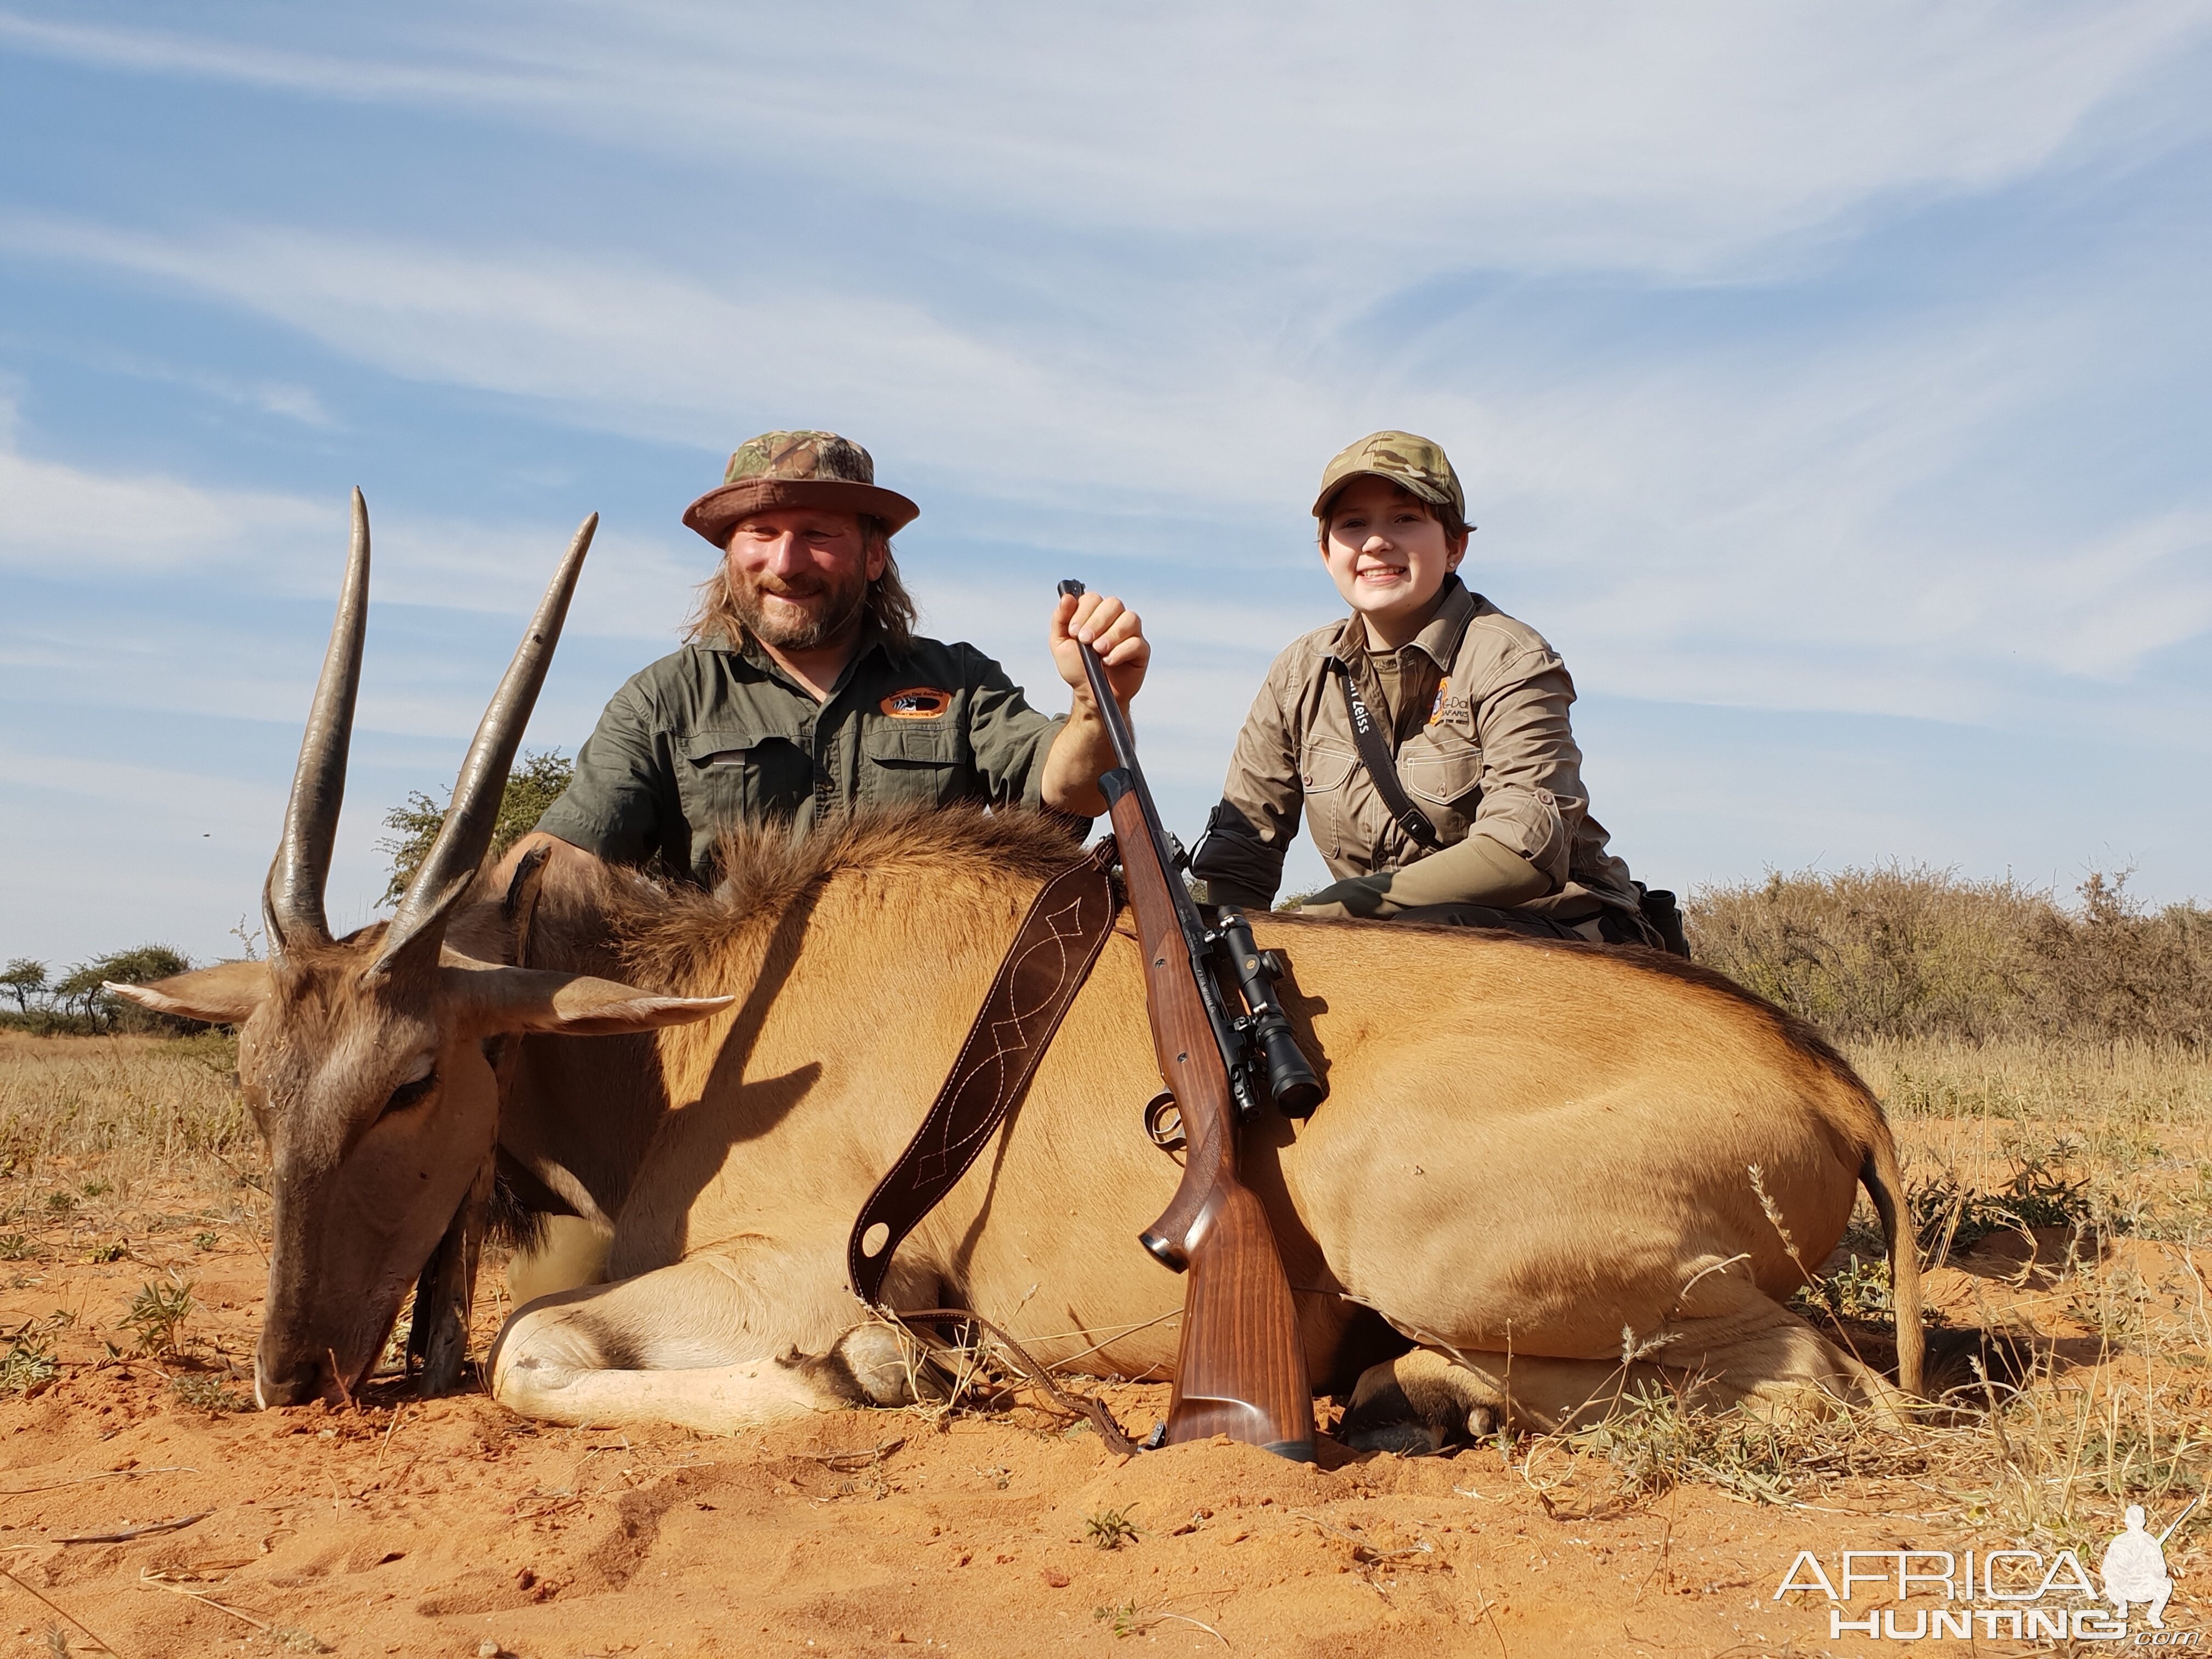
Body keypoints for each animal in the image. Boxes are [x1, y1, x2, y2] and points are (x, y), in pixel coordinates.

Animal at [116, 500, 1920, 1451]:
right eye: (257, 1088)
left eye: (418, 1077)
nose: (289, 1375)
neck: (708, 1020)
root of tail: (1834, 1093)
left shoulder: (809, 1266)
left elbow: (536, 1350)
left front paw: (881, 1373)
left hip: (1438, 1239)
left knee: (1822, 1393)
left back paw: (1409, 1388)